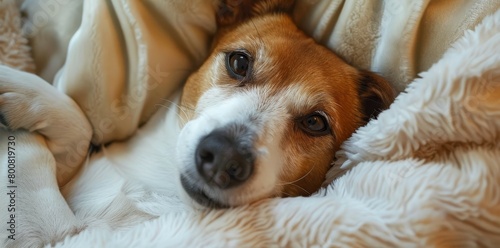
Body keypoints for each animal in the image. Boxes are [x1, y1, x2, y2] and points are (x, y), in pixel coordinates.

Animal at [1, 0, 396, 245]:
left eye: (315, 123)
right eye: (239, 62)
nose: (224, 158)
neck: (159, 191)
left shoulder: (61, 236)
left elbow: (43, 162)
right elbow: (79, 126)